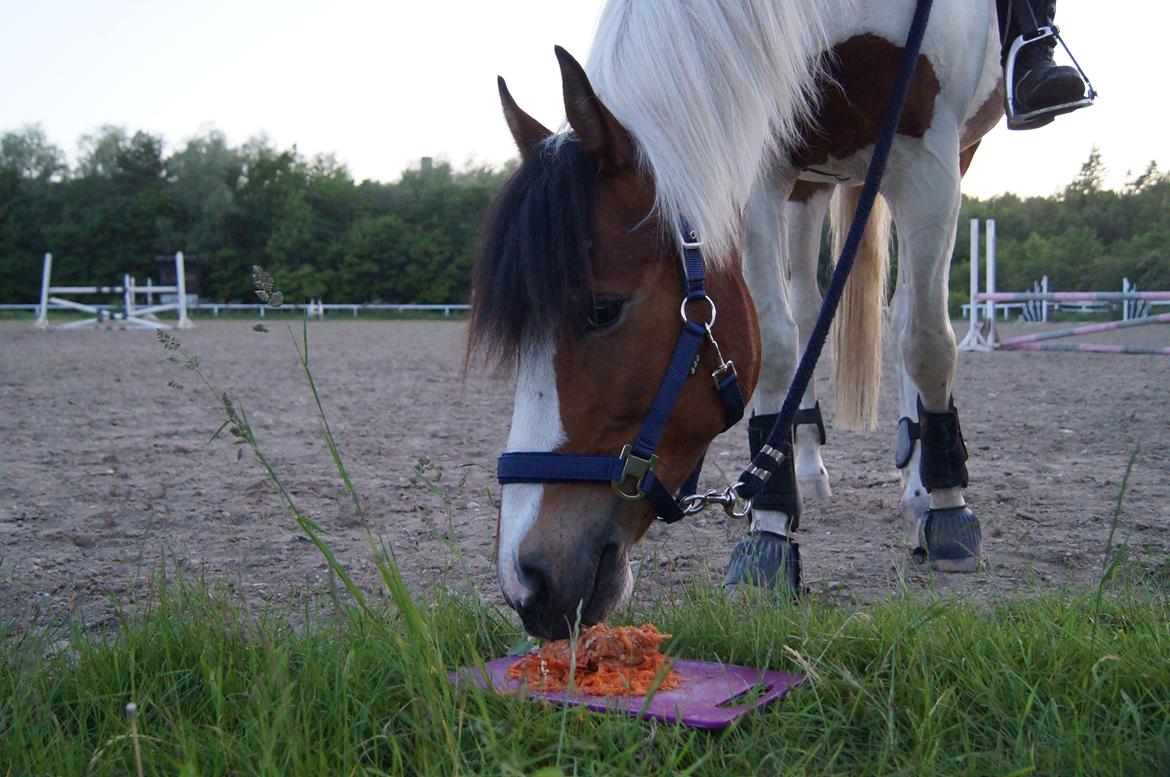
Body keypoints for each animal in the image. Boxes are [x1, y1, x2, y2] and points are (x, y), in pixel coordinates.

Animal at [470, 0, 1004, 639]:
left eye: (603, 309)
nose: (527, 583)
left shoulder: (929, 150)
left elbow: (926, 340)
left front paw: (949, 506)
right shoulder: (765, 164)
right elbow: (776, 343)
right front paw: (770, 527)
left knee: (906, 317)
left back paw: (922, 487)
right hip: (808, 181)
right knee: (808, 312)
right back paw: (809, 470)